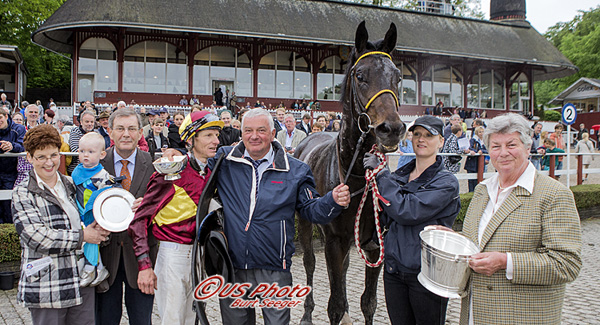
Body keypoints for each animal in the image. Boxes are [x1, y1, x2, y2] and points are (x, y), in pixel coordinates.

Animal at [294, 21, 406, 322]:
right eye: (360, 75)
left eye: (398, 76)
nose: (391, 128)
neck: (356, 175)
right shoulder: (334, 242)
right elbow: (334, 303)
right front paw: (332, 311)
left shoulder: (375, 245)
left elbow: (368, 302)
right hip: (305, 223)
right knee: (309, 263)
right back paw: (307, 313)